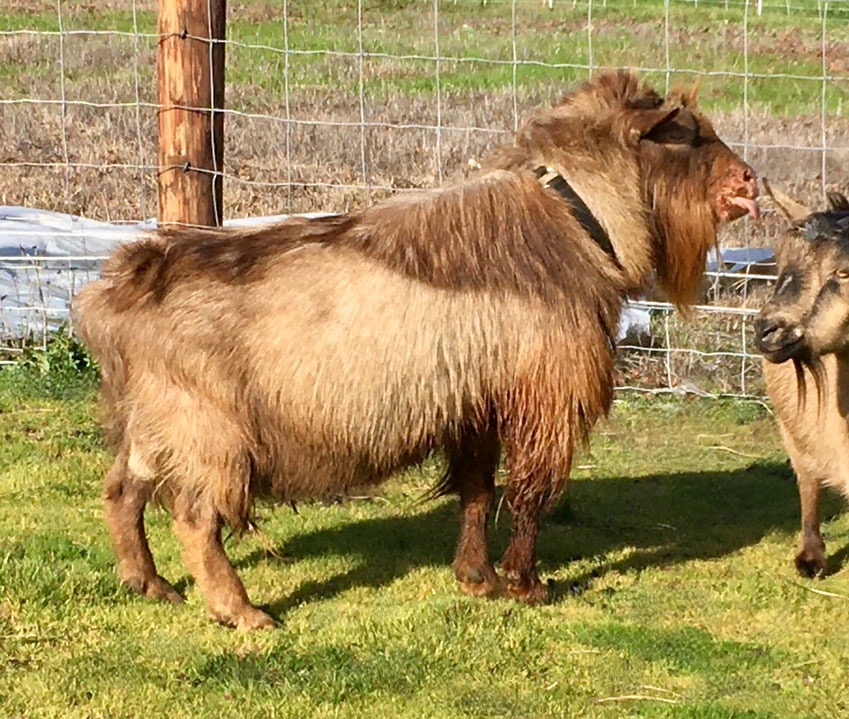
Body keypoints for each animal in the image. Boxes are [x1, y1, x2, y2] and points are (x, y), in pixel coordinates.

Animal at [76, 70, 760, 628]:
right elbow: (531, 495)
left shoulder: (478, 402)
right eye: (686, 135)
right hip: (206, 434)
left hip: (154, 425)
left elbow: (478, 489)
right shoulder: (545, 397)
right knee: (194, 520)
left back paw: (148, 583)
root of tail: (116, 290)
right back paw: (241, 612)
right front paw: (527, 584)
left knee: (121, 491)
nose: (750, 180)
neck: (575, 215)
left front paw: (477, 578)